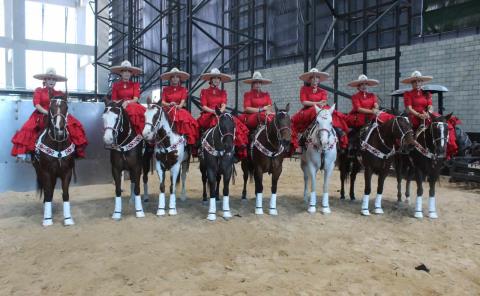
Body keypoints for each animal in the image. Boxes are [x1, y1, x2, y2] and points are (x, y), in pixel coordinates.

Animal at [32, 95, 76, 227]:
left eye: (66, 107)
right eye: (50, 108)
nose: (59, 129)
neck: (58, 145)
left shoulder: (67, 172)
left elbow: (65, 194)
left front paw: (68, 219)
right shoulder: (46, 172)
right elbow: (47, 193)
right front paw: (47, 220)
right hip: (40, 172)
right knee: (48, 191)